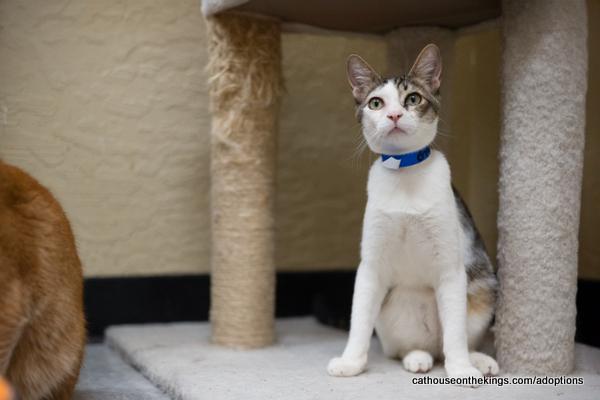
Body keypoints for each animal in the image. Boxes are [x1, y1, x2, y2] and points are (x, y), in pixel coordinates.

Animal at [326, 43, 500, 384]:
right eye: (376, 103)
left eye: (413, 99)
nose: (394, 114)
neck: (404, 173)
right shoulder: (371, 265)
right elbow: (359, 319)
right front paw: (351, 362)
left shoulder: (451, 267)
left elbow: (456, 333)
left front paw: (461, 369)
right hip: (397, 312)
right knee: (413, 348)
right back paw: (417, 358)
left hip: (483, 289)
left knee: (454, 338)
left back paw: (477, 359)